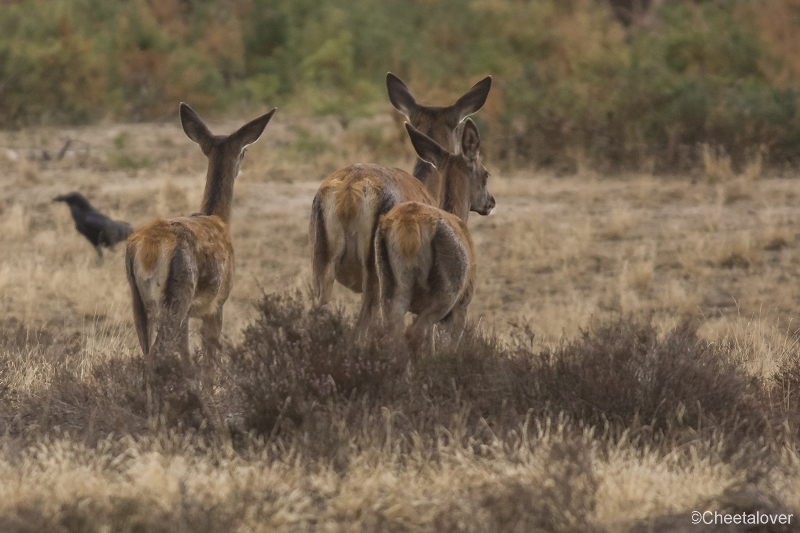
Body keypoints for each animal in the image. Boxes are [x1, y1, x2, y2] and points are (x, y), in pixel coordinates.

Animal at [125, 102, 276, 360]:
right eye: (244, 151)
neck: (219, 218)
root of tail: (146, 250)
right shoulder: (217, 303)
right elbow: (209, 361)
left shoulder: (189, 315)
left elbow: (187, 357)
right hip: (179, 293)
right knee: (156, 355)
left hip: (139, 303)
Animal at [376, 122, 494, 352]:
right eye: (486, 174)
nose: (491, 201)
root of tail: (410, 226)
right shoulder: (462, 304)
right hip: (446, 290)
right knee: (413, 334)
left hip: (388, 285)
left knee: (390, 335)